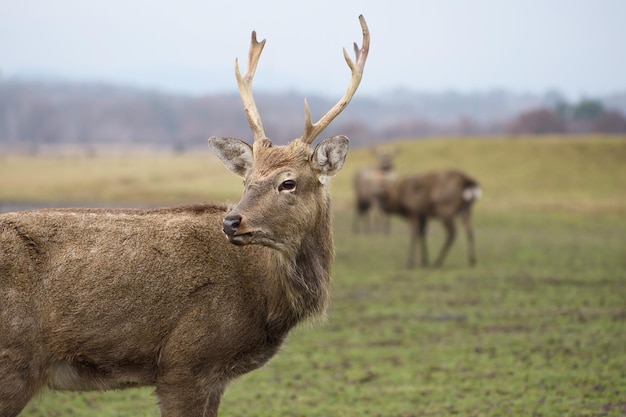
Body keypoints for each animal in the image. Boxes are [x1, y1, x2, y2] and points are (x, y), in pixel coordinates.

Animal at [0, 15, 368, 416]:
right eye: (247, 180)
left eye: (288, 182)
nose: (231, 221)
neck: (263, 298)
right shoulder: (185, 361)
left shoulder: (213, 376)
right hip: (14, 360)